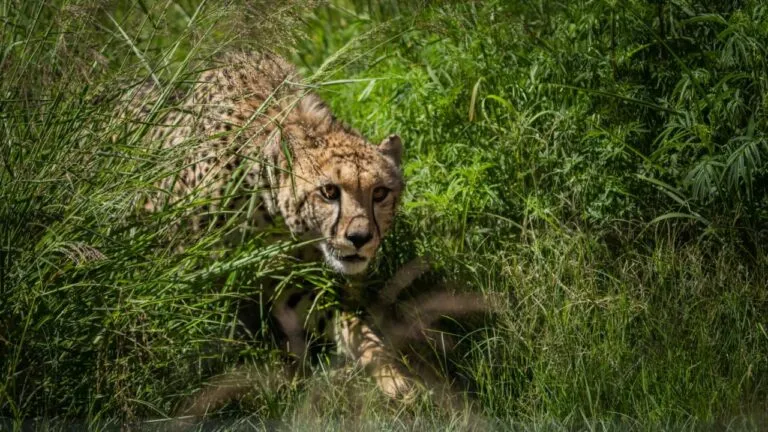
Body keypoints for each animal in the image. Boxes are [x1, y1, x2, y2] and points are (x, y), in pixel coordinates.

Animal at [124, 52, 413, 403]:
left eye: (380, 193)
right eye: (329, 191)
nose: (359, 238)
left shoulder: (287, 281)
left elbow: (348, 324)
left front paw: (391, 374)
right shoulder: (186, 263)